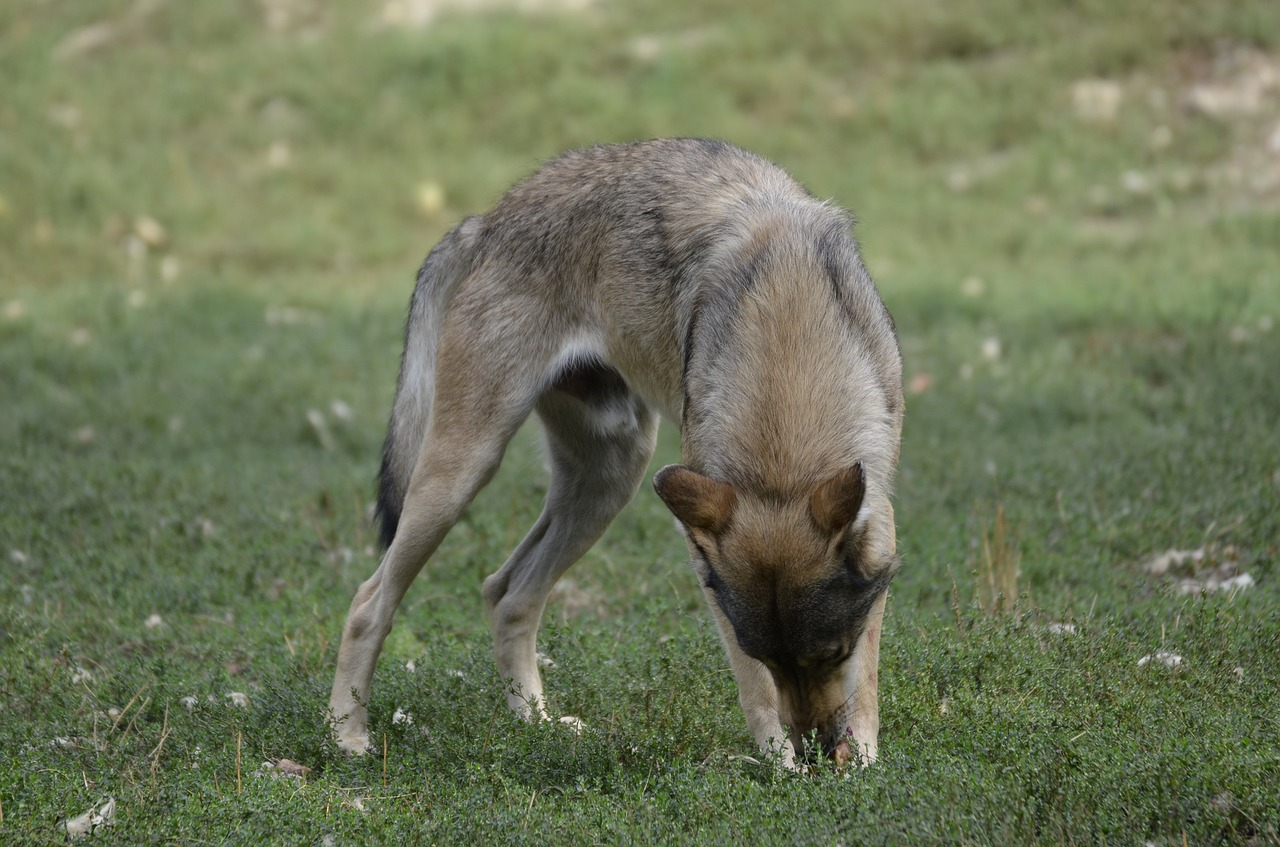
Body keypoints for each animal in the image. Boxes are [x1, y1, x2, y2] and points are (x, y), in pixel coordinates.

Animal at [335, 139, 906, 767]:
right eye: (771, 658)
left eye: (831, 654)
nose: (817, 753)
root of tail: (488, 221)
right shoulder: (707, 565)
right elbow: (755, 689)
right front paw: (781, 765)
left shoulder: (878, 536)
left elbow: (866, 682)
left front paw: (862, 762)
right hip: (464, 474)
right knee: (369, 602)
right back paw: (347, 736)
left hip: (611, 480)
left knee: (507, 593)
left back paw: (537, 725)